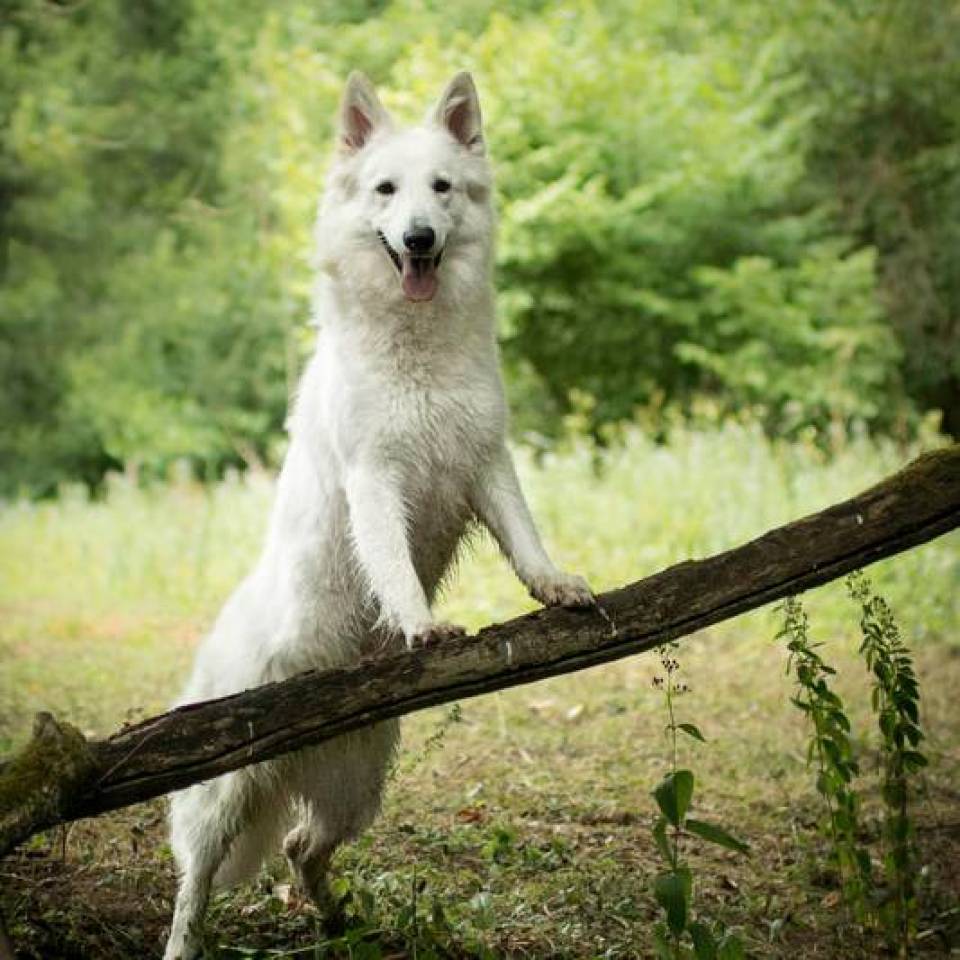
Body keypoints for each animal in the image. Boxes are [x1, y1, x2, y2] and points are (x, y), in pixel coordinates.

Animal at [163, 71, 592, 956]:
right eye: (387, 191)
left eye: (442, 188)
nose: (421, 239)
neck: (418, 348)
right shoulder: (376, 480)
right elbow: (391, 562)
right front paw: (420, 623)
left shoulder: (487, 462)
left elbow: (525, 537)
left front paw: (554, 584)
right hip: (222, 794)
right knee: (195, 880)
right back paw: (186, 941)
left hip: (357, 791)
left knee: (300, 847)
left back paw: (341, 923)